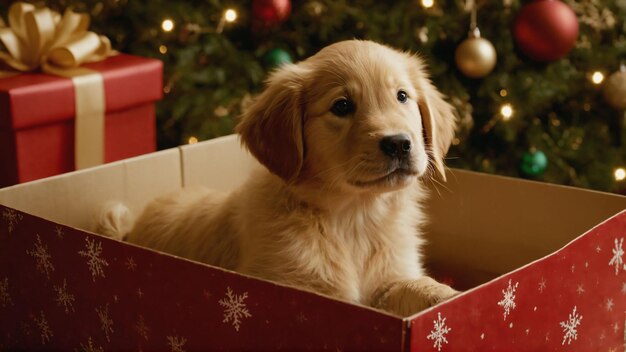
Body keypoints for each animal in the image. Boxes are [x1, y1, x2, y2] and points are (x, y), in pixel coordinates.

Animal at [98, 39, 458, 316]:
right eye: (341, 106)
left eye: (402, 96)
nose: (398, 143)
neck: (354, 218)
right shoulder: (288, 280)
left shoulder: (392, 275)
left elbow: (415, 285)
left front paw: (447, 297)